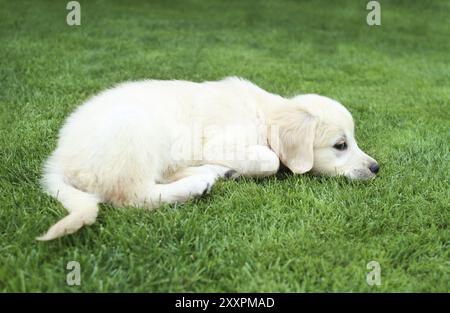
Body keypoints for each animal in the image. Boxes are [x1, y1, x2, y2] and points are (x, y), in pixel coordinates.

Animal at [37, 77, 378, 240]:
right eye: (340, 145)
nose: (376, 167)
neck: (263, 115)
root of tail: (58, 159)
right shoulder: (221, 143)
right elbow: (270, 160)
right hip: (134, 131)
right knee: (134, 194)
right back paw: (197, 183)